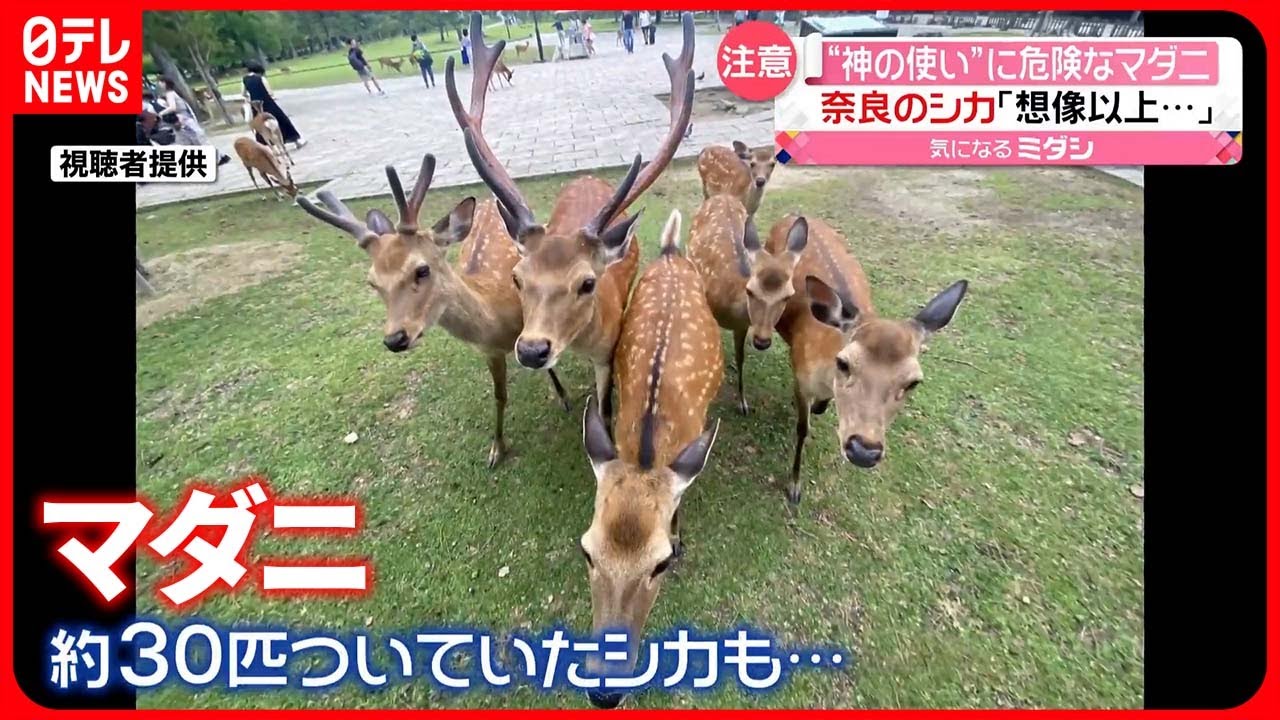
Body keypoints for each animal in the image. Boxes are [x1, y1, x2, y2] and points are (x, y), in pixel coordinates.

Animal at [295, 154, 574, 468]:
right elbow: (499, 396)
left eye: (422, 269)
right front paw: (497, 448)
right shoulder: (489, 351)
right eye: (372, 282)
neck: (499, 315)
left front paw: (563, 397)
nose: (395, 339)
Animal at [446, 10, 695, 422]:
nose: (532, 350)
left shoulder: (608, 352)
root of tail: (586, 175)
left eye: (588, 283)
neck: (579, 341)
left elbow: (605, 407)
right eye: (516, 277)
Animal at [579, 210, 722, 709]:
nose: (604, 692)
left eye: (661, 564)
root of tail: (671, 251)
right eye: (586, 551)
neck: (645, 450)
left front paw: (681, 534)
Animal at [687, 195, 808, 414]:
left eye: (788, 296)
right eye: (750, 291)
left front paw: (743, 403)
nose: (762, 341)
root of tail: (722, 196)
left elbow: (740, 357)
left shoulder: (742, 325)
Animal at [768, 213, 969, 505]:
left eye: (913, 382)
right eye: (843, 363)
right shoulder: (801, 376)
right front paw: (794, 487)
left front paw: (820, 408)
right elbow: (802, 429)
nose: (863, 450)